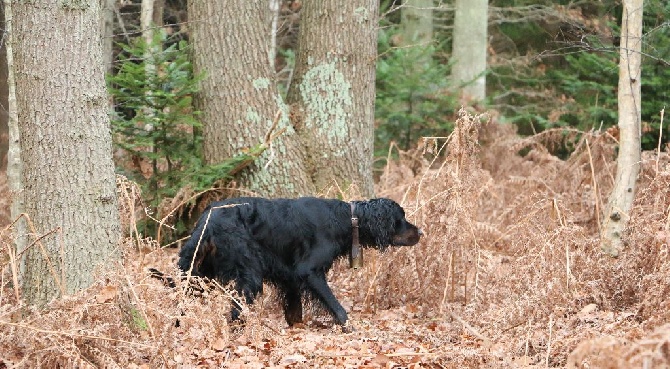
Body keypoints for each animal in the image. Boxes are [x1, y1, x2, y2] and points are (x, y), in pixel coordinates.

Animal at [176, 197, 422, 324]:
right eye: (401, 219)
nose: (420, 232)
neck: (347, 218)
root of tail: (208, 218)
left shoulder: (290, 277)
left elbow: (294, 311)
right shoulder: (309, 271)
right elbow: (336, 306)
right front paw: (346, 325)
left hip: (199, 270)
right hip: (247, 274)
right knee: (237, 310)